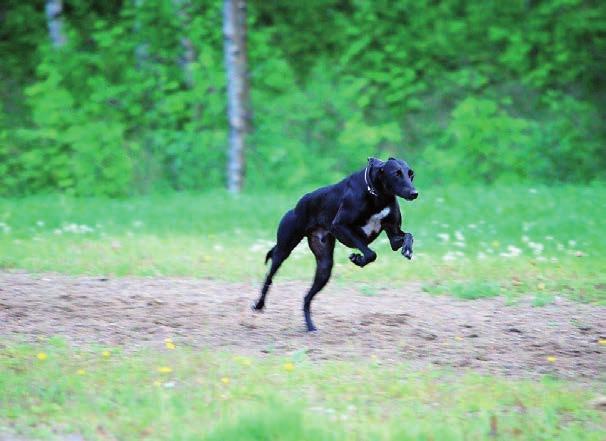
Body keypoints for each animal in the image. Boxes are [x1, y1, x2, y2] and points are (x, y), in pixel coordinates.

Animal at [252, 157, 418, 330]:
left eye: (411, 174)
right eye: (396, 174)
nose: (414, 193)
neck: (377, 195)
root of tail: (297, 206)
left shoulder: (393, 236)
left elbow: (408, 236)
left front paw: (407, 249)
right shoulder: (340, 226)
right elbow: (371, 253)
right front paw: (358, 259)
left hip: (324, 266)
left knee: (306, 297)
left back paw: (310, 327)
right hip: (283, 250)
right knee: (269, 276)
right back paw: (259, 304)